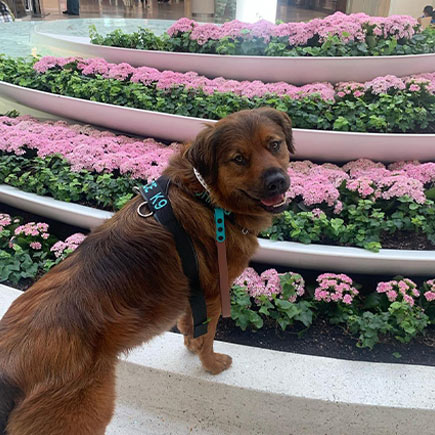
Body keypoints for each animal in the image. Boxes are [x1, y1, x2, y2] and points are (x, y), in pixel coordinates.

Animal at [0, 107, 292, 434]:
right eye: (239, 158)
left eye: (274, 145)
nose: (277, 182)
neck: (205, 196)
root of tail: (8, 369)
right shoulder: (216, 292)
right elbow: (208, 335)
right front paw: (211, 364)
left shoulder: (194, 288)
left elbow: (191, 322)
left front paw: (190, 341)